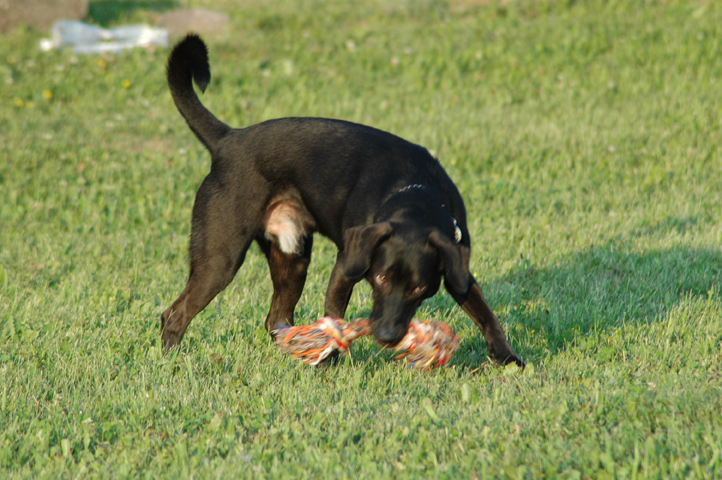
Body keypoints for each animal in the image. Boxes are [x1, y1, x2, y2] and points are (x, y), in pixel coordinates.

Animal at [162, 34, 524, 368]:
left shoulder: (457, 267)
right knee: (174, 314)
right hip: (220, 259)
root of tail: (228, 139)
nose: (387, 336)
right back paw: (171, 358)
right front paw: (330, 358)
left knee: (275, 317)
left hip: (291, 256)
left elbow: (484, 312)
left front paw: (507, 357)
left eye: (419, 289)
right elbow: (335, 316)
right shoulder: (345, 266)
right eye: (381, 279)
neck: (416, 190)